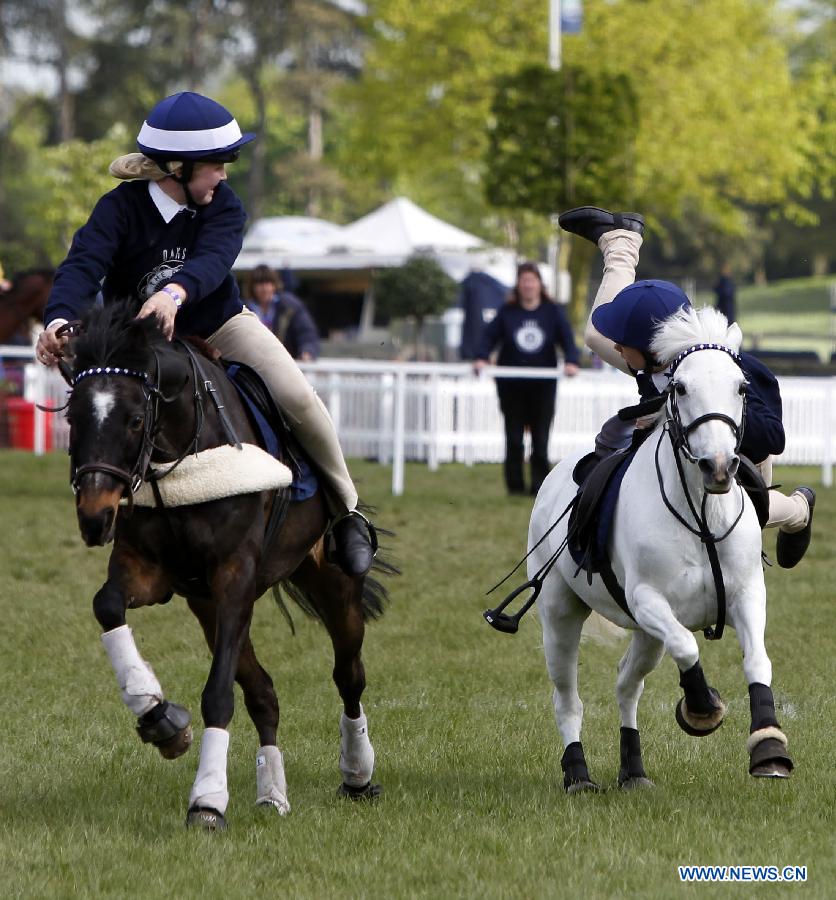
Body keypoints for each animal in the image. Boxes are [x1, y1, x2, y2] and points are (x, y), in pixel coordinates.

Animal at [528, 310, 792, 796]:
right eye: (680, 387)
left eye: (741, 387)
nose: (719, 466)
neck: (701, 515)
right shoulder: (648, 600)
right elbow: (688, 645)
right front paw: (703, 707)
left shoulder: (747, 595)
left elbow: (757, 660)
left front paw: (768, 745)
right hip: (560, 613)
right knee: (567, 698)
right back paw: (578, 774)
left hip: (647, 637)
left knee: (625, 685)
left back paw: (633, 770)